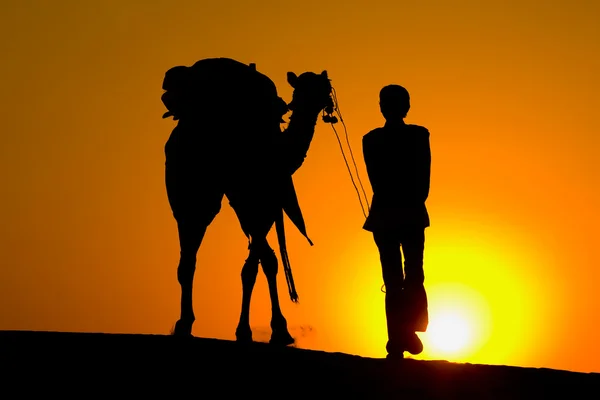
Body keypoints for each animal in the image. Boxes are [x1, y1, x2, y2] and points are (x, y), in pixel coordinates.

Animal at [162, 57, 336, 346]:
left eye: (323, 87)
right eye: (300, 89)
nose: (315, 102)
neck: (278, 155)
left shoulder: (262, 206)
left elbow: (268, 261)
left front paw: (279, 329)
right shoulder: (255, 205)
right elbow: (252, 268)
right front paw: (245, 331)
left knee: (189, 258)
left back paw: (185, 323)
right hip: (191, 191)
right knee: (189, 251)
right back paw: (184, 323)